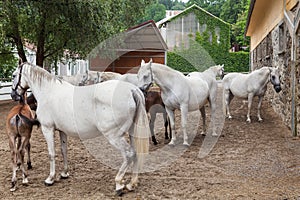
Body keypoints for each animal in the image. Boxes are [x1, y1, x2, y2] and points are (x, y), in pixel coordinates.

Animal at [11, 62, 150, 195]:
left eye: (13, 75)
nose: (13, 95)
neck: (48, 91)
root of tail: (132, 90)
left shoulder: (47, 129)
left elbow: (51, 153)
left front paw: (50, 179)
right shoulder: (62, 131)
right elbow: (64, 151)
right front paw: (64, 173)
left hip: (114, 136)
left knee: (129, 154)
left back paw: (119, 184)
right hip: (132, 133)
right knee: (136, 153)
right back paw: (132, 184)